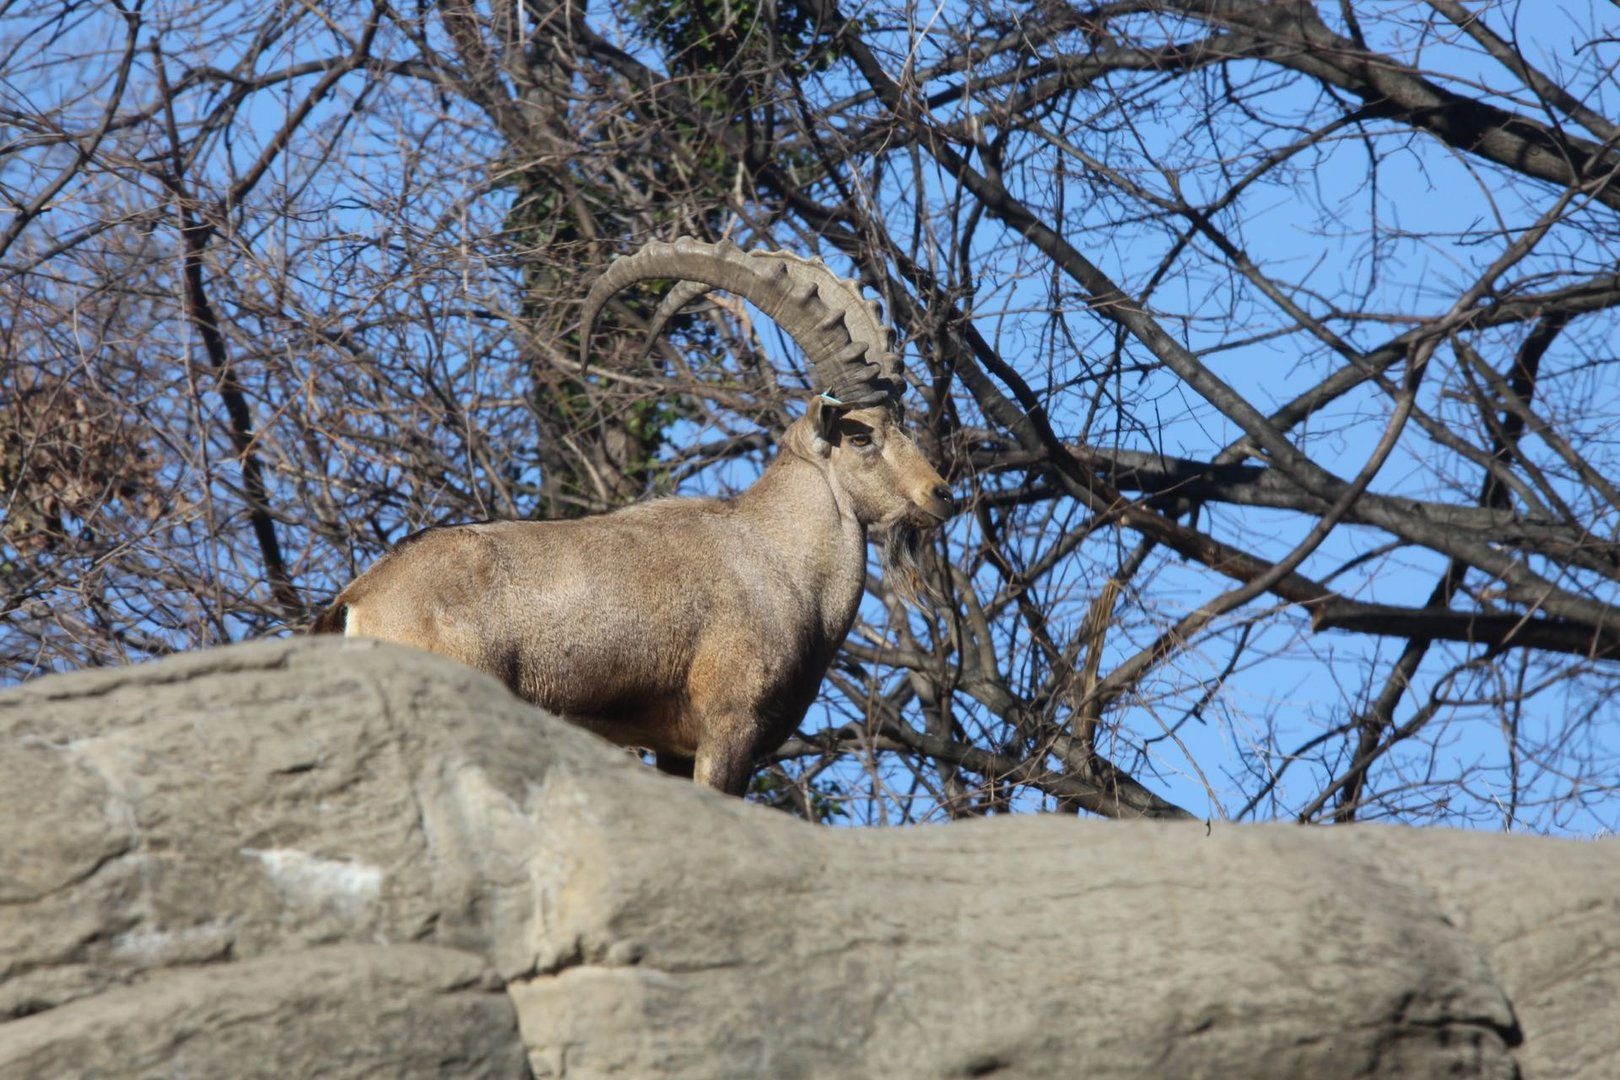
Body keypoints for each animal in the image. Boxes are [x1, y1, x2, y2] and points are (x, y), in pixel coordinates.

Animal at [311, 238, 954, 795]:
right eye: (862, 436)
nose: (940, 494)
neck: (776, 556)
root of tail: (357, 599)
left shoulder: (672, 748)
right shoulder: (729, 725)